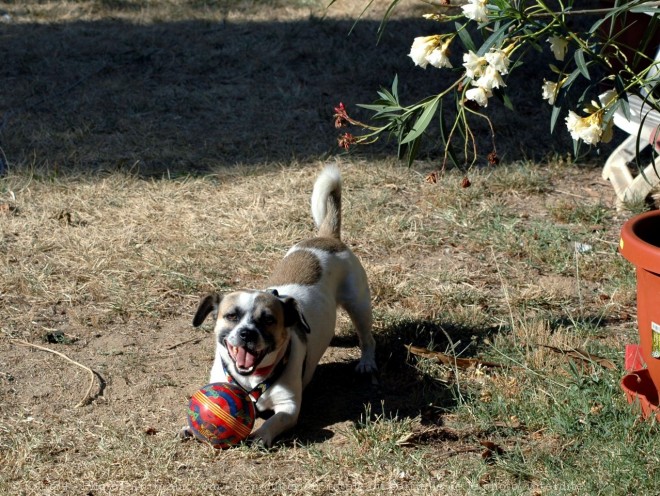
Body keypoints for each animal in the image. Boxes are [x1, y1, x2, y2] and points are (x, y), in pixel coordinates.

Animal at [186, 166, 376, 446]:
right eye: (231, 316)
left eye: (268, 320)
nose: (247, 333)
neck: (252, 380)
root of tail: (326, 237)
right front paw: (189, 428)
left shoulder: (289, 407)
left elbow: (275, 421)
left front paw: (260, 436)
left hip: (359, 306)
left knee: (367, 337)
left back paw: (367, 363)